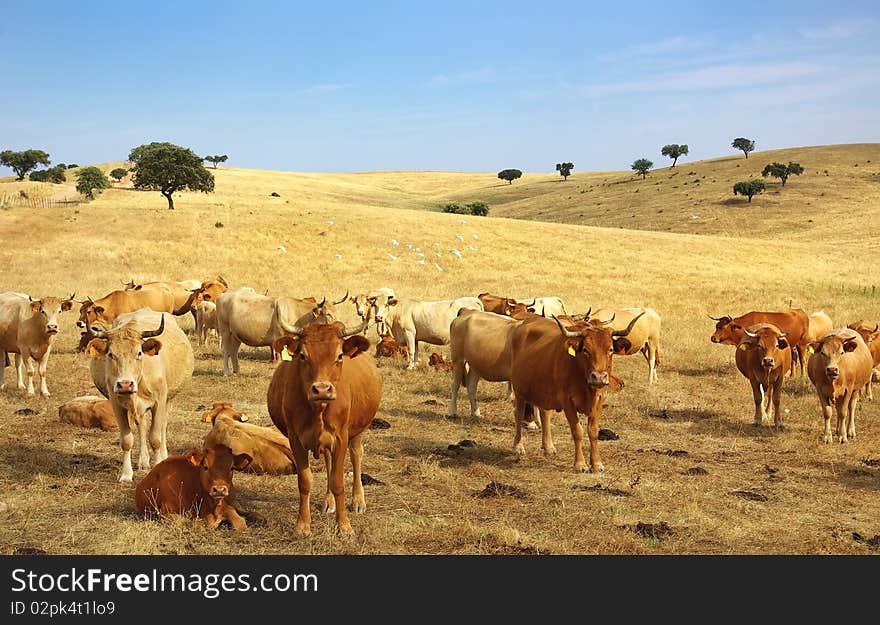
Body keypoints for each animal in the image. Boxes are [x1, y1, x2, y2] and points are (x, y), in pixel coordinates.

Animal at [85, 310, 194, 480]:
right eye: (111, 354)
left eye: (139, 353)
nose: (125, 384)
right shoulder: (117, 406)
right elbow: (127, 440)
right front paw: (126, 474)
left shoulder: (159, 403)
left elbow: (155, 438)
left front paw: (157, 467)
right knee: (142, 426)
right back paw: (143, 461)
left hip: (168, 401)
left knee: (163, 426)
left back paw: (163, 456)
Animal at [266, 314, 380, 532]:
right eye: (302, 356)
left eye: (339, 356)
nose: (322, 390)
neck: (317, 410)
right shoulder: (295, 439)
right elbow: (305, 481)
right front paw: (303, 524)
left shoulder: (341, 437)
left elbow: (338, 482)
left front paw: (344, 526)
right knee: (328, 462)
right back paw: (329, 502)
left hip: (358, 431)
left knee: (356, 456)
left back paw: (358, 501)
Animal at [508, 314, 640, 470]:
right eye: (586, 350)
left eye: (611, 349)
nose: (599, 377)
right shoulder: (567, 401)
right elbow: (577, 431)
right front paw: (580, 464)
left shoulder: (599, 400)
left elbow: (593, 431)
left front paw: (596, 463)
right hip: (519, 391)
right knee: (518, 414)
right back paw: (518, 446)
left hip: (544, 393)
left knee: (545, 414)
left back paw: (548, 447)